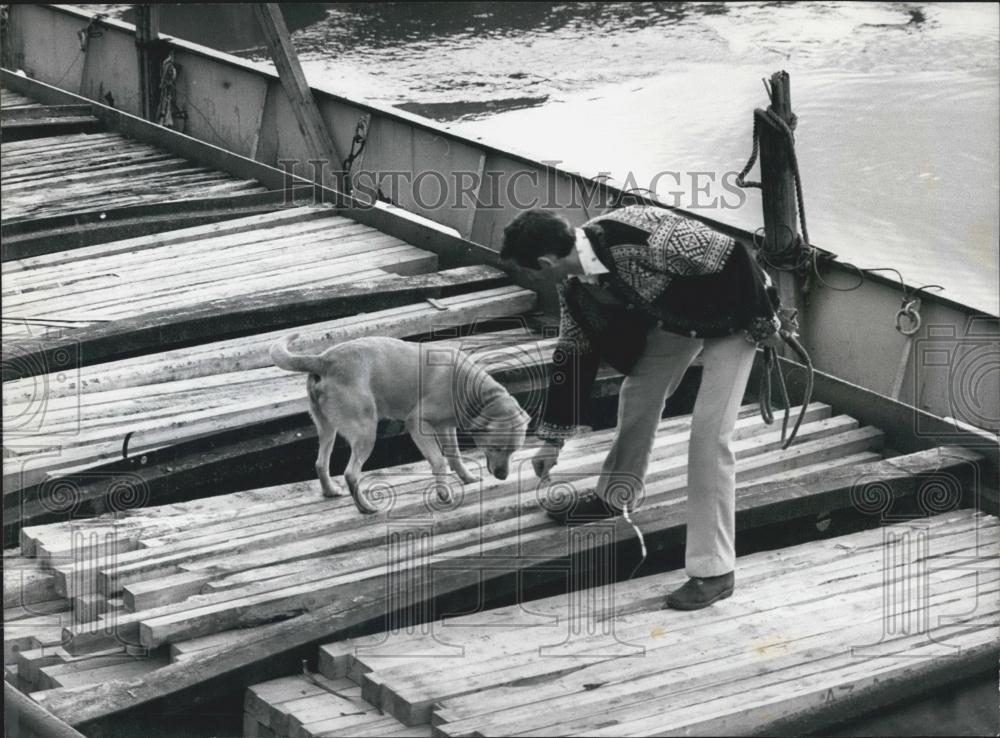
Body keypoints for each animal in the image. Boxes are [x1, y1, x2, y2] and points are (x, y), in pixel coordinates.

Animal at [266, 334, 532, 512]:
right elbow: (439, 461)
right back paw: (366, 507)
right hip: (366, 432)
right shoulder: (417, 424)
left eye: (514, 450)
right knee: (351, 473)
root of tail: (323, 359)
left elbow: (455, 456)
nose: (503, 477)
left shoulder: (446, 427)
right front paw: (444, 493)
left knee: (321, 463)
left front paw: (467, 477)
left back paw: (330, 491)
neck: (473, 390)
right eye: (496, 447)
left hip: (327, 429)